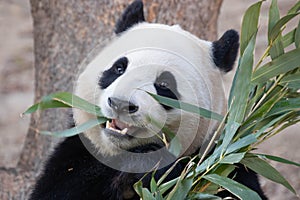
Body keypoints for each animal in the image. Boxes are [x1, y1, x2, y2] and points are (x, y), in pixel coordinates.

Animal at [28, 0, 268, 199]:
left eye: (164, 85)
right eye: (119, 68)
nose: (121, 104)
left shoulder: (225, 162)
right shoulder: (77, 152)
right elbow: (62, 189)